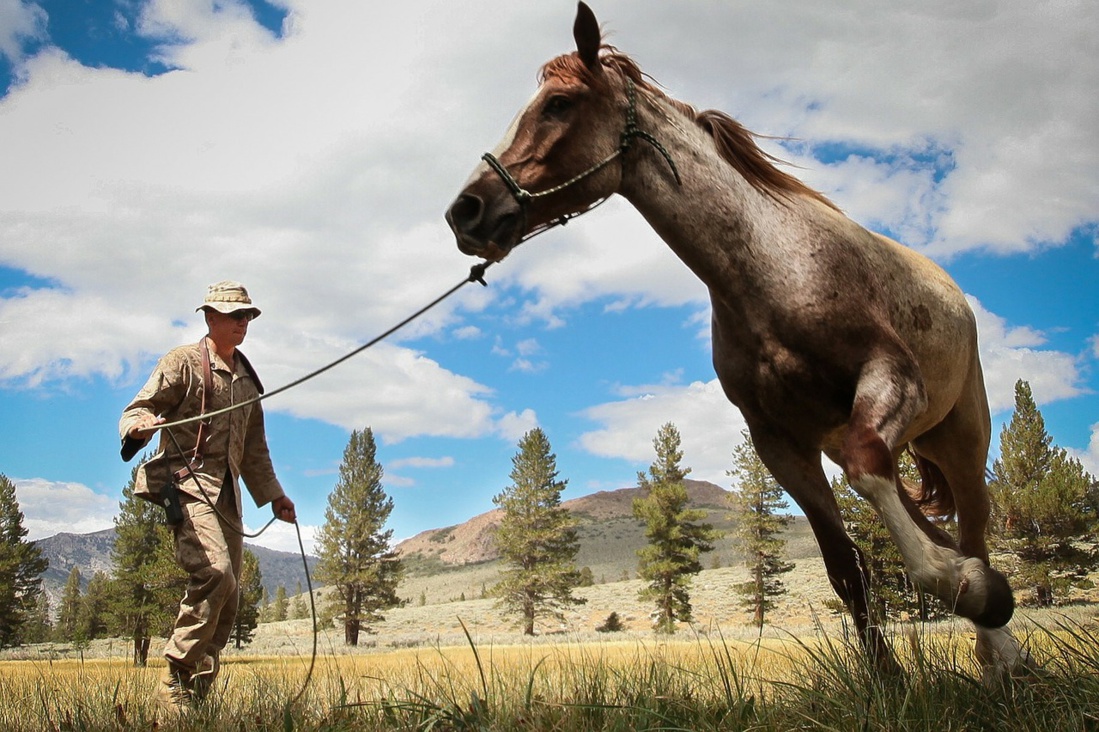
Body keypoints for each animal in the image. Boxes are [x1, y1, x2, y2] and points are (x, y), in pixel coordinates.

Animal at [445, 2, 1029, 678]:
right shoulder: (781, 443)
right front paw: (887, 678)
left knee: (974, 529)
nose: (465, 211)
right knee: (929, 523)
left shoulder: (891, 380)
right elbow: (846, 567)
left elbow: (879, 487)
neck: (774, 272)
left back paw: (1001, 655)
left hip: (960, 436)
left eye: (558, 104)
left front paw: (974, 594)